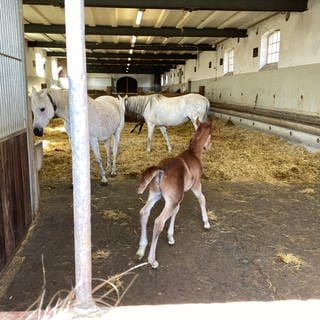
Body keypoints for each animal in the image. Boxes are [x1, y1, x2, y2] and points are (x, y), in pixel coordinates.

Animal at [135, 117, 212, 268]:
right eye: (211, 136)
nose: (208, 147)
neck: (194, 153)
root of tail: (161, 170)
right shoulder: (195, 185)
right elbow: (202, 198)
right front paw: (206, 223)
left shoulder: (178, 196)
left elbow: (176, 211)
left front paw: (170, 237)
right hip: (170, 199)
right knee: (158, 221)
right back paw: (152, 260)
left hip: (155, 194)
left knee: (144, 212)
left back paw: (141, 249)